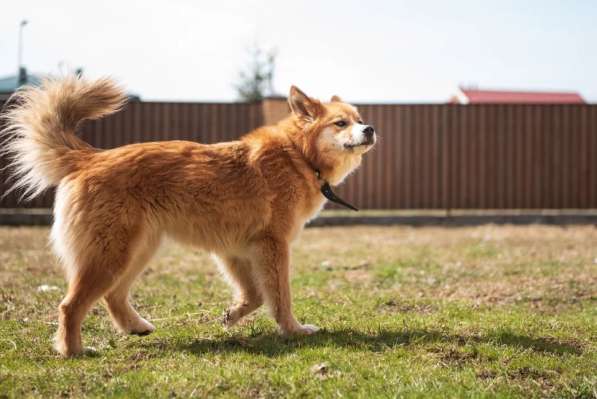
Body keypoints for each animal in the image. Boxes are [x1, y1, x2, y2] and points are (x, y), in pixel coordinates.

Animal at [1, 76, 378, 358]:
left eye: (358, 120)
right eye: (341, 123)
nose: (370, 129)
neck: (298, 155)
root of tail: (90, 157)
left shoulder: (236, 250)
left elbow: (255, 295)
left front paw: (231, 316)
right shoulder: (273, 246)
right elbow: (279, 296)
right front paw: (293, 330)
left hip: (135, 252)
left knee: (112, 296)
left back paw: (135, 327)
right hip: (110, 255)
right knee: (70, 305)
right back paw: (73, 351)